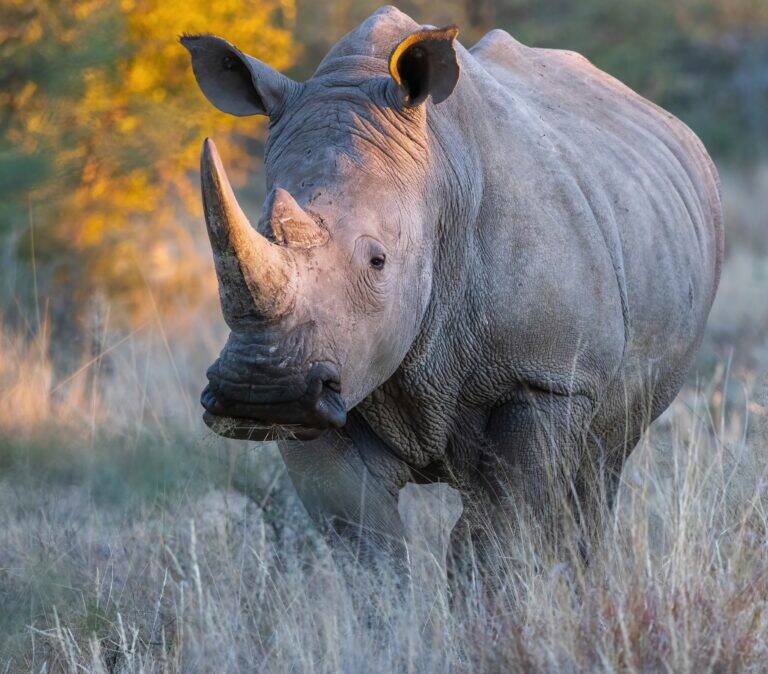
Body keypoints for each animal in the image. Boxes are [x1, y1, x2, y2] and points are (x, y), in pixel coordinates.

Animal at [181, 6, 722, 573]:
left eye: (378, 262)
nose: (259, 392)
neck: (438, 180)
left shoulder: (548, 375)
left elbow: (496, 533)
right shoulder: (328, 384)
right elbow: (364, 541)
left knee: (598, 467)